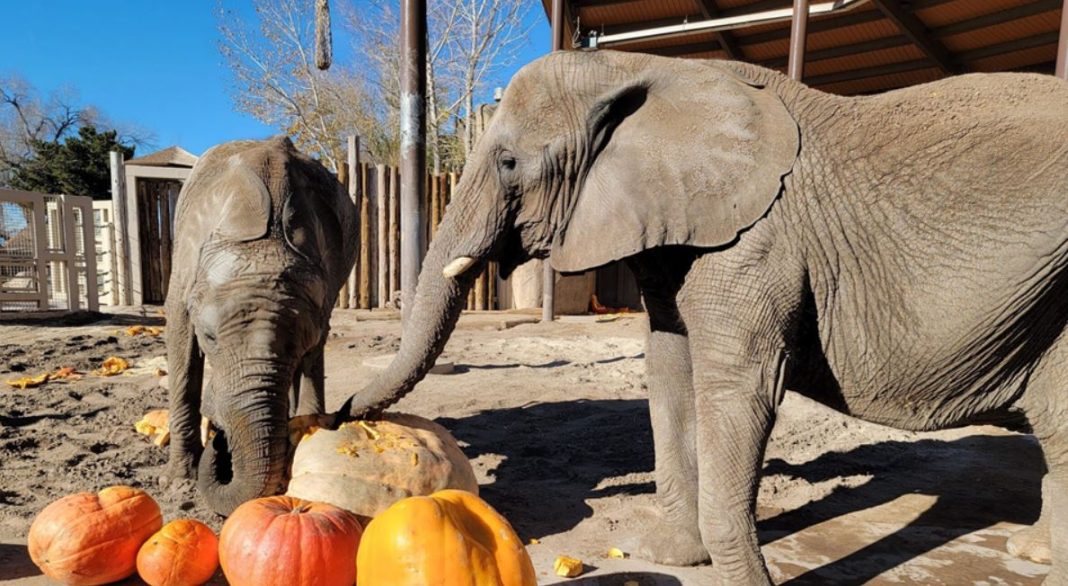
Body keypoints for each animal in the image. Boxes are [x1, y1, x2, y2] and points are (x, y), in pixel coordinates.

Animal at [160, 136, 356, 512]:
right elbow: (179, 336)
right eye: (209, 337)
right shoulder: (186, 262)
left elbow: (316, 350)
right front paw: (180, 484)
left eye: (301, 345)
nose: (219, 439)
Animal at [339, 51, 1068, 584]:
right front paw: (672, 557)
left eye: (510, 161)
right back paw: (1032, 554)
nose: (343, 411)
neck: (644, 68)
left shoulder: (758, 239)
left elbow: (737, 384)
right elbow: (669, 371)